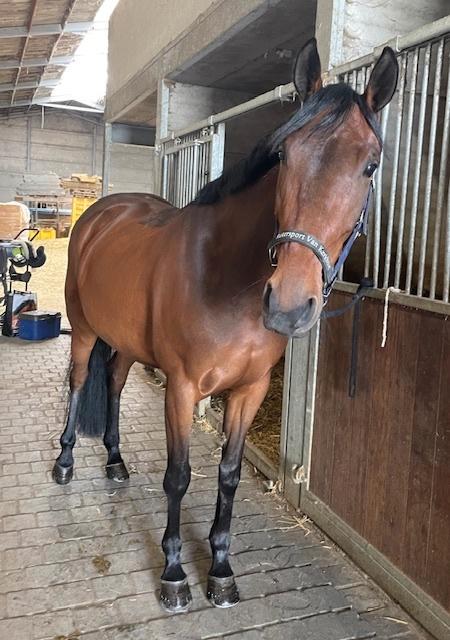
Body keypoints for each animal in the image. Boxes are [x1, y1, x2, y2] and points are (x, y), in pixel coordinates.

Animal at [52, 38, 398, 612]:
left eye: (371, 165)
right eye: (284, 156)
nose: (287, 305)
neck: (225, 277)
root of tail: (100, 213)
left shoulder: (249, 390)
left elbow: (229, 475)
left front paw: (219, 569)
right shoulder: (181, 388)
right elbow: (178, 476)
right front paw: (174, 574)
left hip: (126, 342)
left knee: (115, 383)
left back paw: (116, 461)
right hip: (82, 328)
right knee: (80, 381)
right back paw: (64, 463)